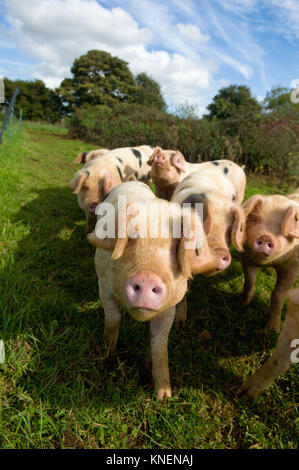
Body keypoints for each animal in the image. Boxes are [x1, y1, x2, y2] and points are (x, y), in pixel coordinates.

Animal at [88, 180, 219, 396]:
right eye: (131, 237)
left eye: (176, 245)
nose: (147, 277)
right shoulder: (103, 284)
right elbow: (113, 321)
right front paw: (106, 357)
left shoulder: (169, 306)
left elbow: (159, 344)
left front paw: (164, 396)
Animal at [241, 190, 299, 330]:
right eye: (255, 219)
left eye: (283, 229)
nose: (266, 237)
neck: (270, 263)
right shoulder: (246, 258)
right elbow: (249, 281)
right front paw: (242, 304)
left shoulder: (292, 268)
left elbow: (278, 294)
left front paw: (272, 330)